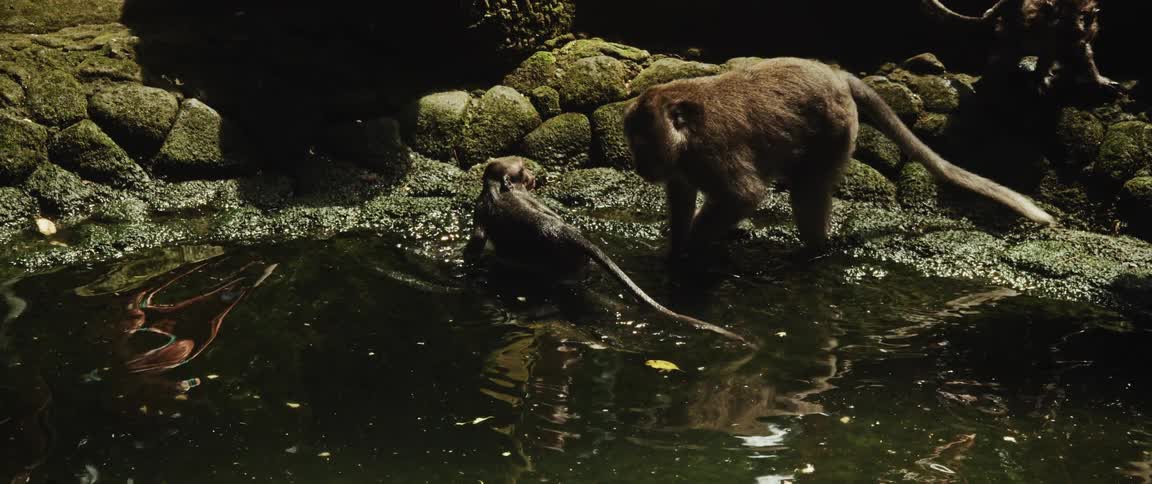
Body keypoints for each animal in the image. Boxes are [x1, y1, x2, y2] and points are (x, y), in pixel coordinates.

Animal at [463, 156, 751, 346]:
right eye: (523, 169)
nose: (533, 175)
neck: (499, 189)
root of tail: (571, 235)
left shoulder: (481, 208)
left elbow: (477, 240)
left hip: (560, 266)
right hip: (576, 264)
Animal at [623, 57, 1056, 259]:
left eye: (641, 144)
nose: (640, 167)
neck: (686, 138)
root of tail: (835, 73)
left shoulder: (713, 153)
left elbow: (744, 194)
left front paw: (692, 251)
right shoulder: (684, 165)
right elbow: (681, 195)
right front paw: (675, 251)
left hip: (834, 129)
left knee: (808, 189)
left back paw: (812, 252)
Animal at [922, 0, 1118, 92]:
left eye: (1085, 17)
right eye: (1058, 16)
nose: (1077, 28)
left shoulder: (1079, 42)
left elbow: (1084, 57)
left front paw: (1101, 81)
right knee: (1002, 58)